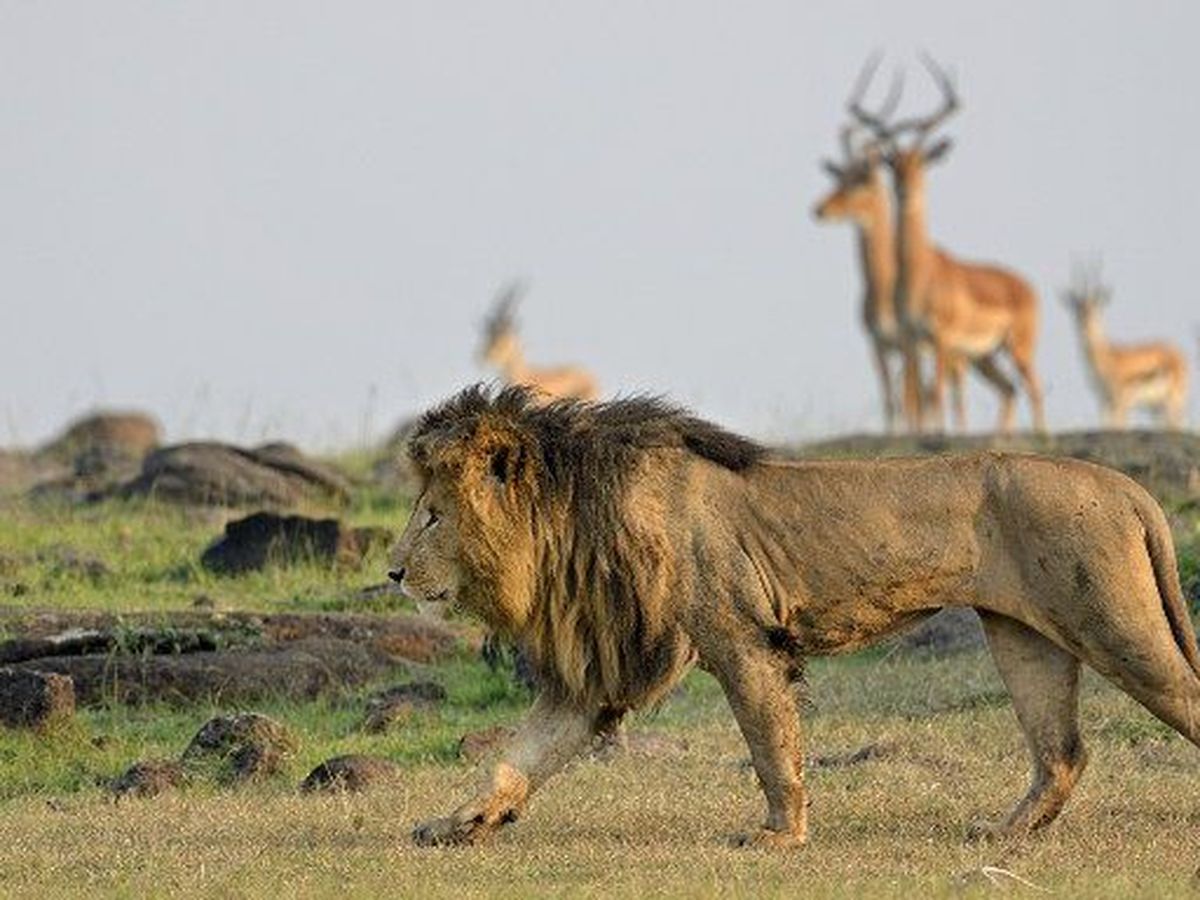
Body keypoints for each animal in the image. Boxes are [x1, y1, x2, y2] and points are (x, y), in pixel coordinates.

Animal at [393, 384, 1200, 849]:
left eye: (432, 517)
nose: (394, 572)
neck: (573, 522)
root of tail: (1130, 490)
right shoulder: (601, 670)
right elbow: (519, 755)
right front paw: (459, 821)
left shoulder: (742, 639)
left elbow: (770, 748)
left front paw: (781, 836)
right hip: (1026, 637)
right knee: (1062, 753)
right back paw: (1002, 831)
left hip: (1115, 625)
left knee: (1173, 701)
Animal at [849, 55, 1046, 436]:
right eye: (893, 164)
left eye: (920, 162)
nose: (905, 191)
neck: (918, 273)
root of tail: (1026, 286)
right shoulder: (911, 338)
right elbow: (915, 394)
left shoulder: (939, 338)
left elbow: (934, 392)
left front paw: (938, 436)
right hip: (984, 356)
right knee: (1010, 388)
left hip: (1016, 347)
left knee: (1034, 387)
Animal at [1065, 260, 1185, 429]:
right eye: (1078, 308)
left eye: (1096, 308)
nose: (1084, 325)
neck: (1107, 357)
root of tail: (1178, 353)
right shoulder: (1104, 402)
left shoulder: (1121, 402)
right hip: (1156, 408)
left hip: (1173, 402)